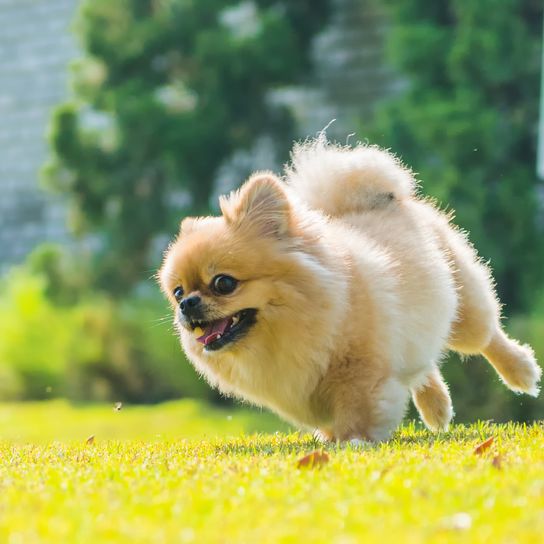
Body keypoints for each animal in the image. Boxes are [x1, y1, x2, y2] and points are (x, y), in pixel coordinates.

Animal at [157, 137, 540, 442]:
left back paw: (521, 371)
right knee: (422, 363)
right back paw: (437, 407)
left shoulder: (360, 371)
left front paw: (352, 440)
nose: (188, 304)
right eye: (177, 292)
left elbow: (357, 406)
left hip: (463, 309)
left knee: (486, 337)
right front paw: (332, 438)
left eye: (223, 283)